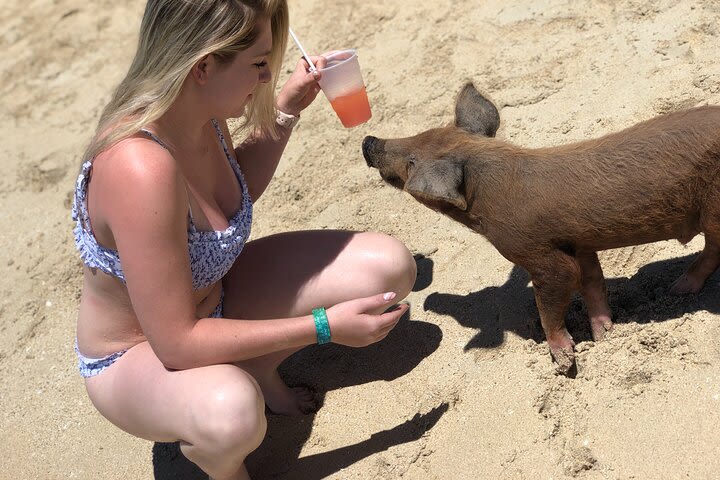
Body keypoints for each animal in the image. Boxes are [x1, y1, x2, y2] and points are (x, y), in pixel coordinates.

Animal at [362, 83, 720, 376]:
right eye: (423, 133)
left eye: (412, 162)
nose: (368, 140)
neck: (485, 201)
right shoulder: (578, 242)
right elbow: (592, 281)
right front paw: (604, 334)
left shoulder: (539, 253)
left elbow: (551, 299)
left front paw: (564, 363)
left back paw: (679, 288)